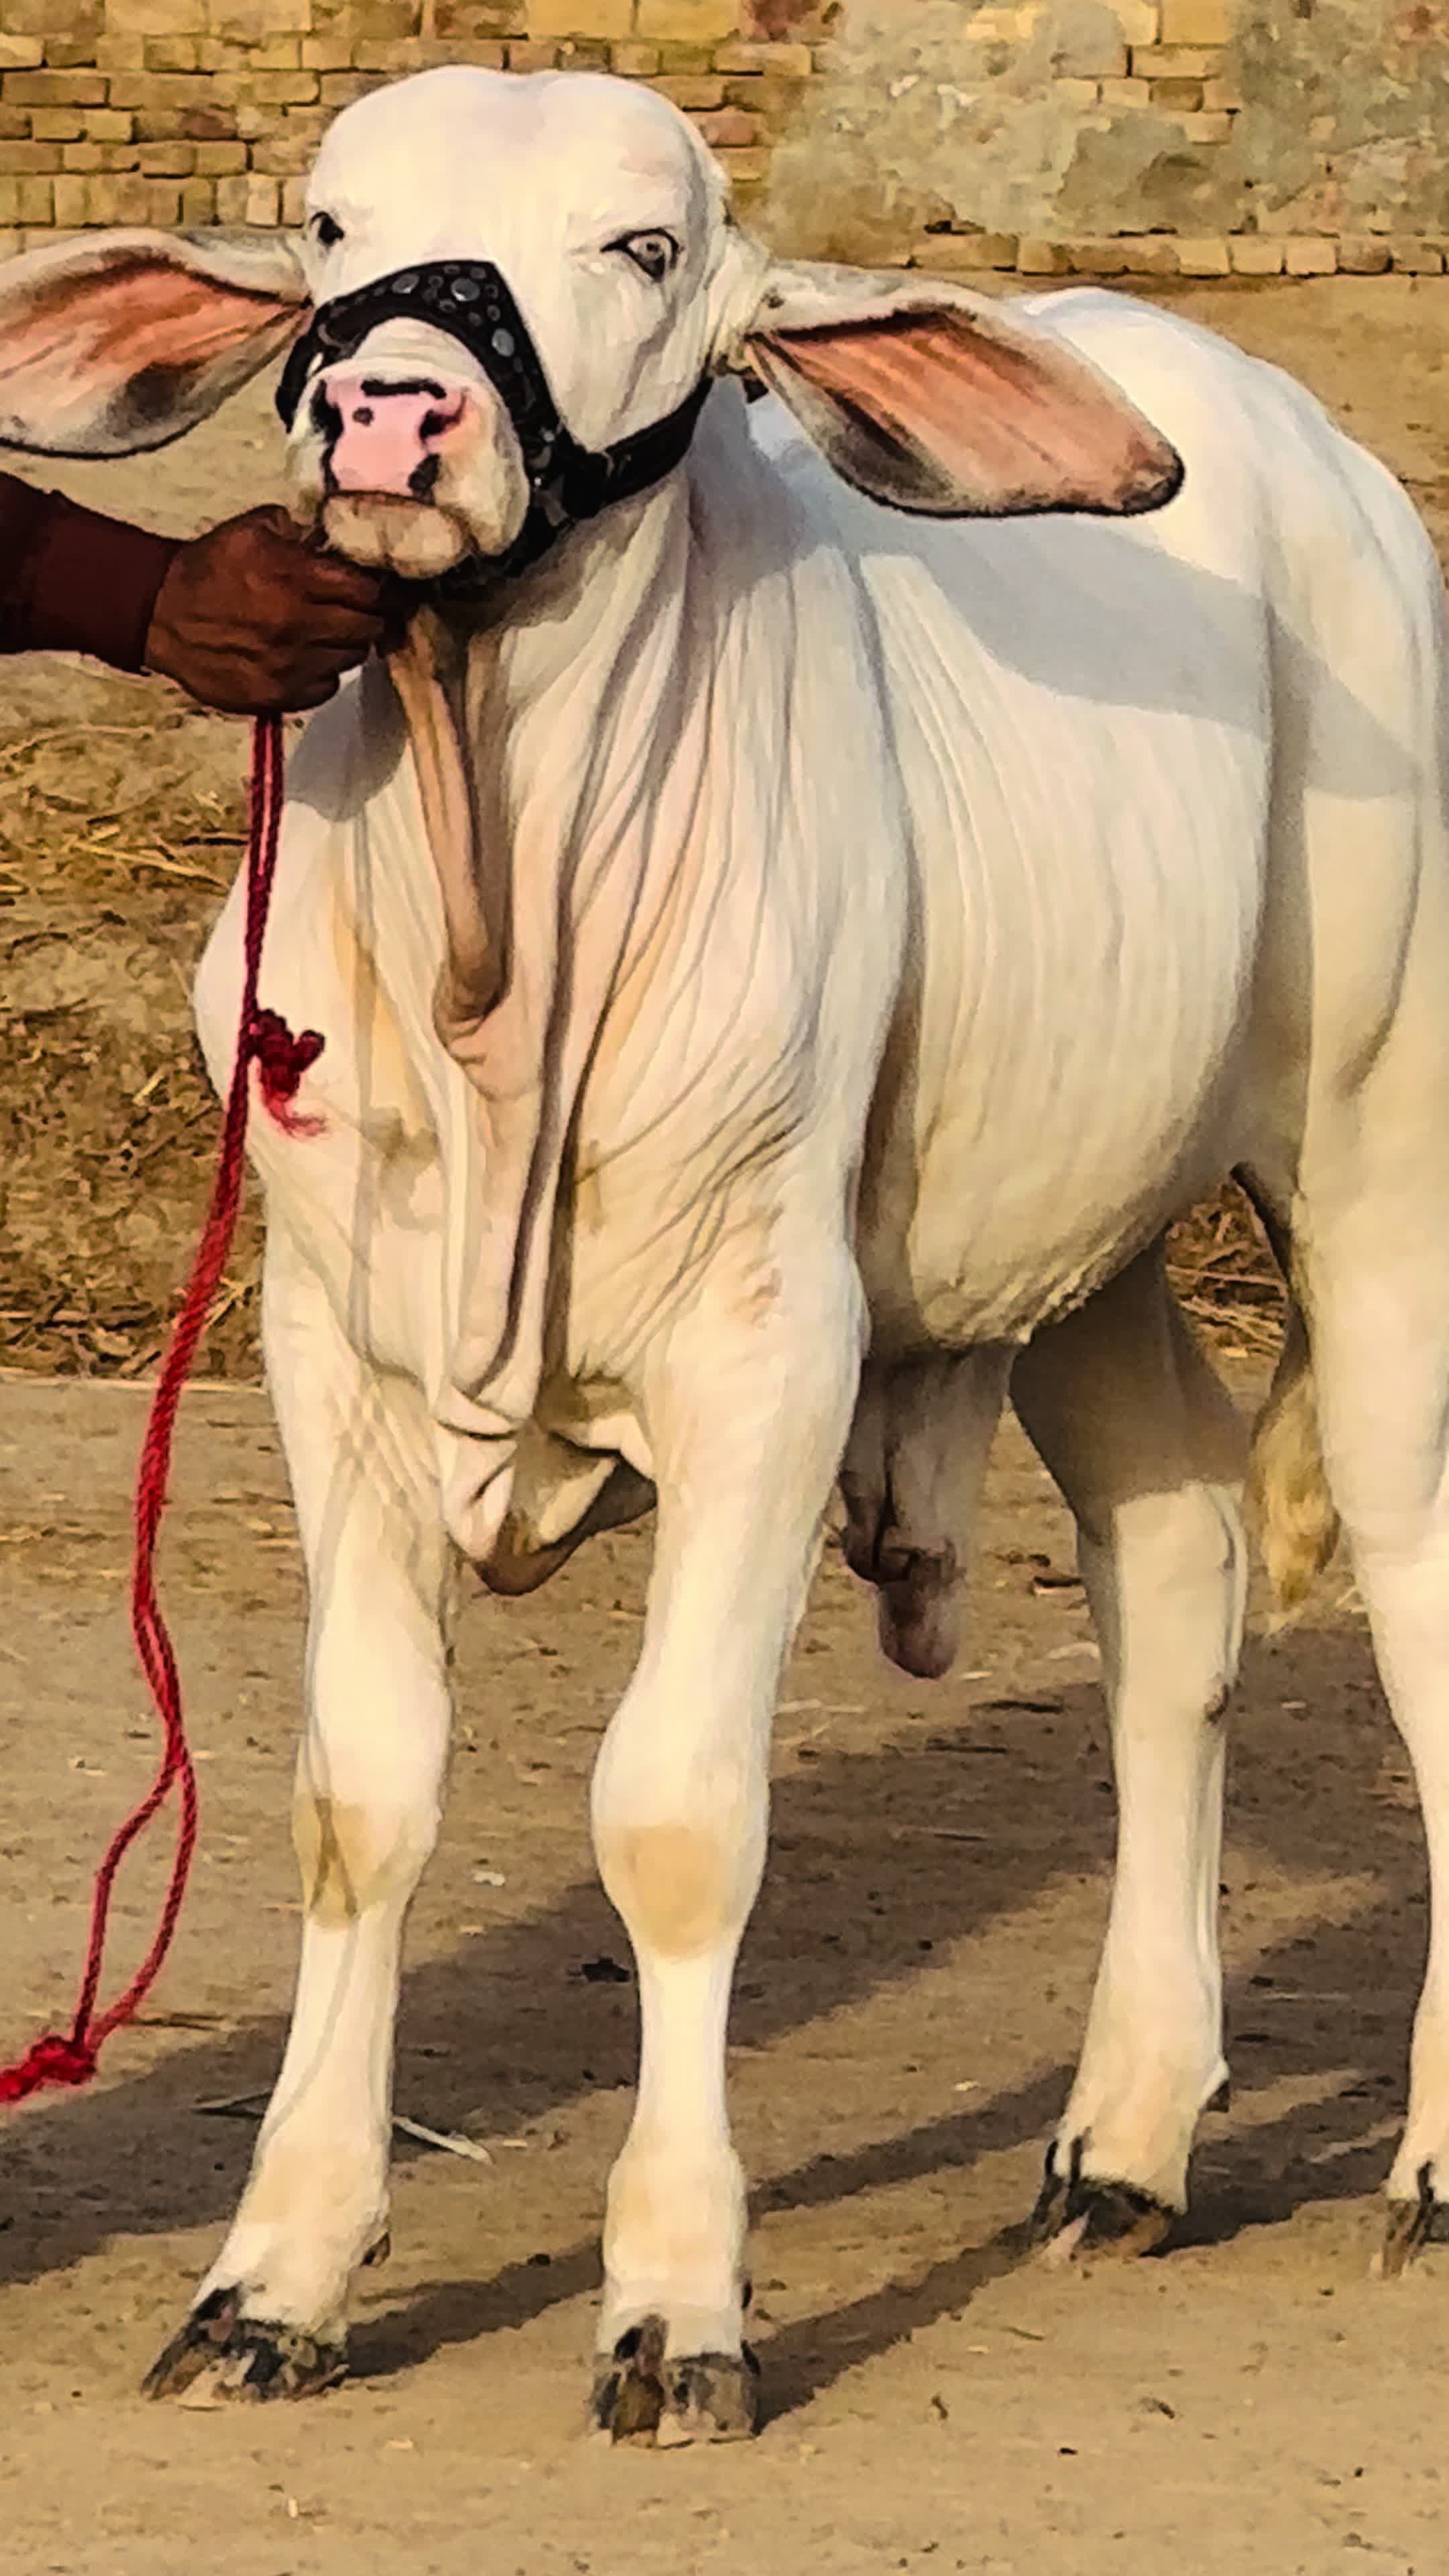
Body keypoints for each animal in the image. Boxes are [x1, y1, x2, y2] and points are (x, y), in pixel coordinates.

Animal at [1, 64, 1447, 2440]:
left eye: (646, 249)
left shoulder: (770, 1351)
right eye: (332, 225)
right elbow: (358, 1796)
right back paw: (1129, 2135)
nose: (389, 411)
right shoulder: (327, 1355)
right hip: (1081, 1228)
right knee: (1174, 1556)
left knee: (1418, 1585)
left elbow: (674, 1816)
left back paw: (1426, 2155)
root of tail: (1315, 456)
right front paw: (276, 2273)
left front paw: (677, 2300)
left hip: (1379, 1160)